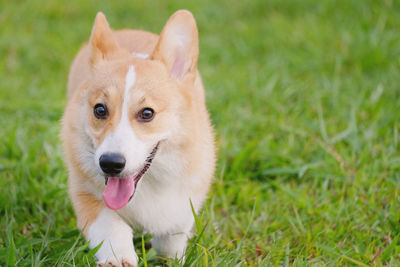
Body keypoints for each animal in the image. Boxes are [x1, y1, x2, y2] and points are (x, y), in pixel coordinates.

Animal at [60, 9, 214, 266]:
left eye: (147, 113)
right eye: (99, 110)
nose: (110, 164)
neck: (147, 183)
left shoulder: (187, 193)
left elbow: (172, 234)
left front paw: (169, 257)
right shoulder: (85, 192)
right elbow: (110, 227)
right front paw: (118, 256)